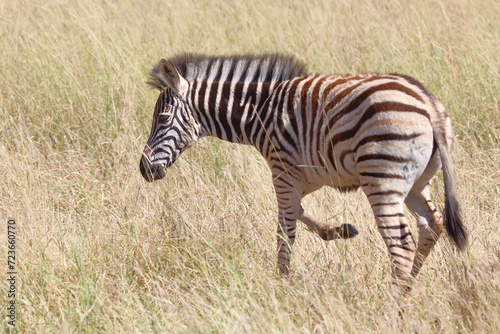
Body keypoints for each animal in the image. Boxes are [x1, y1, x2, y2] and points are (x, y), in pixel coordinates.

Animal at [139, 52, 466, 292]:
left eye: (163, 118)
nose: (144, 169)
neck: (258, 112)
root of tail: (428, 104)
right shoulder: (307, 174)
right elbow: (298, 212)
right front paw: (339, 231)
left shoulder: (282, 169)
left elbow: (285, 230)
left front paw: (282, 286)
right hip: (416, 183)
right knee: (432, 225)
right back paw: (408, 289)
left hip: (381, 180)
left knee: (402, 245)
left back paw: (392, 305)